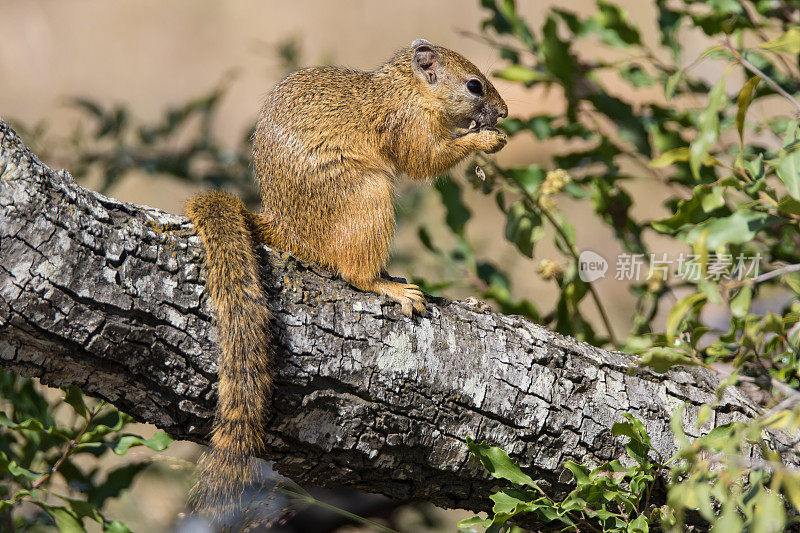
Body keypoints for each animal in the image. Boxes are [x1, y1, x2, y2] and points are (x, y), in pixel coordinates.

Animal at [184, 38, 506, 516]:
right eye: (474, 85)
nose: (503, 113)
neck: (407, 89)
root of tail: (289, 231)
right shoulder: (404, 126)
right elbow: (425, 160)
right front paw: (486, 139)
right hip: (367, 195)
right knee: (354, 272)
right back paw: (391, 287)